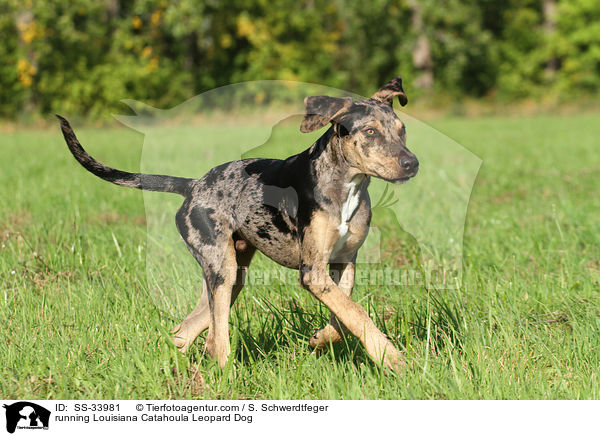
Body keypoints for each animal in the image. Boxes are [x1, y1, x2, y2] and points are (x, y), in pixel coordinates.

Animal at [58, 76, 420, 372]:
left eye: (403, 131)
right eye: (370, 132)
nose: (411, 163)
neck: (346, 186)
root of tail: (193, 186)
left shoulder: (343, 264)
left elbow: (345, 315)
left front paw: (321, 339)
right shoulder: (312, 272)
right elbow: (356, 313)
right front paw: (391, 358)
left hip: (233, 276)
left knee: (184, 333)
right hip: (222, 270)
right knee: (215, 342)